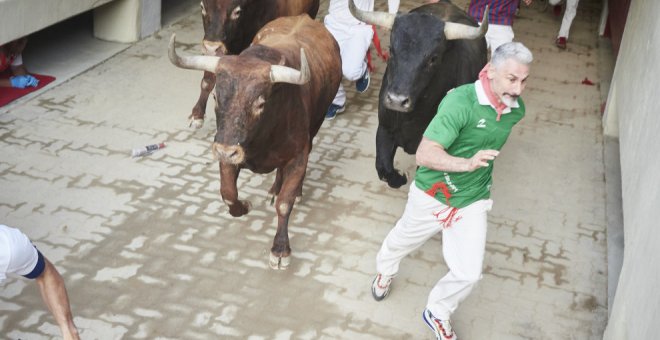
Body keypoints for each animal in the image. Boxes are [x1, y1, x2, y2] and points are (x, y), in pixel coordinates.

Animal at [168, 14, 342, 270]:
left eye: (259, 103)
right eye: (215, 96)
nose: (225, 151)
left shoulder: (298, 155)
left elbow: (285, 203)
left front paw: (280, 250)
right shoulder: (227, 146)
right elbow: (228, 192)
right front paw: (243, 207)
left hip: (315, 125)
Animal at [350, 0, 490, 189]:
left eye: (433, 58)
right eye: (391, 50)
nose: (397, 100)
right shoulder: (385, 128)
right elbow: (384, 168)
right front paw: (400, 177)